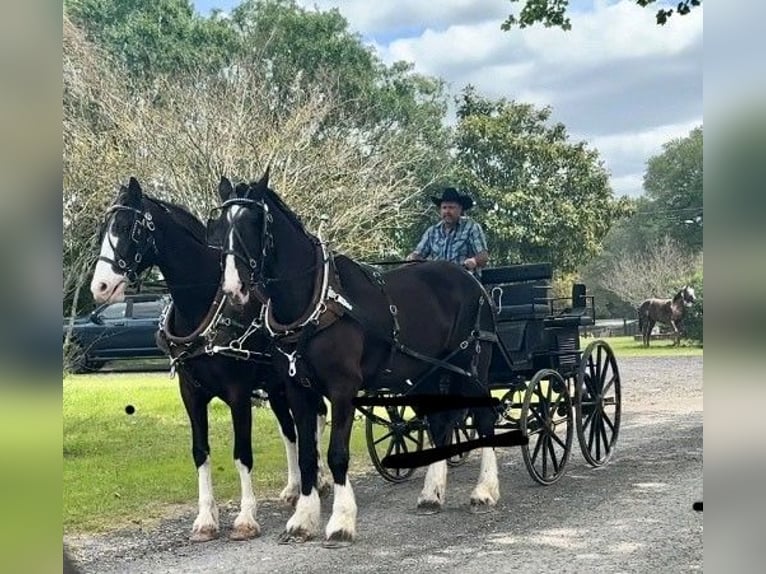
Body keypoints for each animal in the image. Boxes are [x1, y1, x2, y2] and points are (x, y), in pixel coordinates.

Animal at [90, 177, 330, 544]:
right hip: (276, 387)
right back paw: (293, 488)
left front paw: (245, 519)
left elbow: (242, 453)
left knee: (314, 419)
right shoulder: (191, 394)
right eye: (106, 227)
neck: (204, 305)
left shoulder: (238, 394)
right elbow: (200, 452)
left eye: (129, 227)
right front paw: (205, 519)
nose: (99, 286)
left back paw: (319, 478)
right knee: (290, 430)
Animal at [207, 170, 500, 548]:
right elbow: (306, 455)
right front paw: (302, 520)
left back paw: (485, 491)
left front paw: (341, 522)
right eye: (219, 226)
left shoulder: (343, 388)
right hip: (431, 372)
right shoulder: (297, 389)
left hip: (471, 366)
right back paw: (431, 494)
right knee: (439, 424)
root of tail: (471, 282)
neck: (315, 301)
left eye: (255, 221)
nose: (234, 289)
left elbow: (336, 454)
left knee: (484, 419)